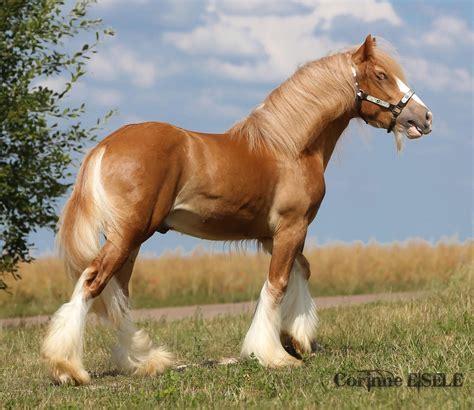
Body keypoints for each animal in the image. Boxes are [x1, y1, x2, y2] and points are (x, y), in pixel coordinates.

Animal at [41, 35, 434, 384]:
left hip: (131, 241)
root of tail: (105, 146)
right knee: (93, 282)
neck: (288, 147)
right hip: (128, 236)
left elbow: (300, 271)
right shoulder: (291, 227)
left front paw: (297, 338)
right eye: (381, 75)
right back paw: (68, 368)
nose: (424, 117)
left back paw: (144, 361)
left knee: (118, 294)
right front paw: (274, 354)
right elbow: (276, 284)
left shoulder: (273, 236)